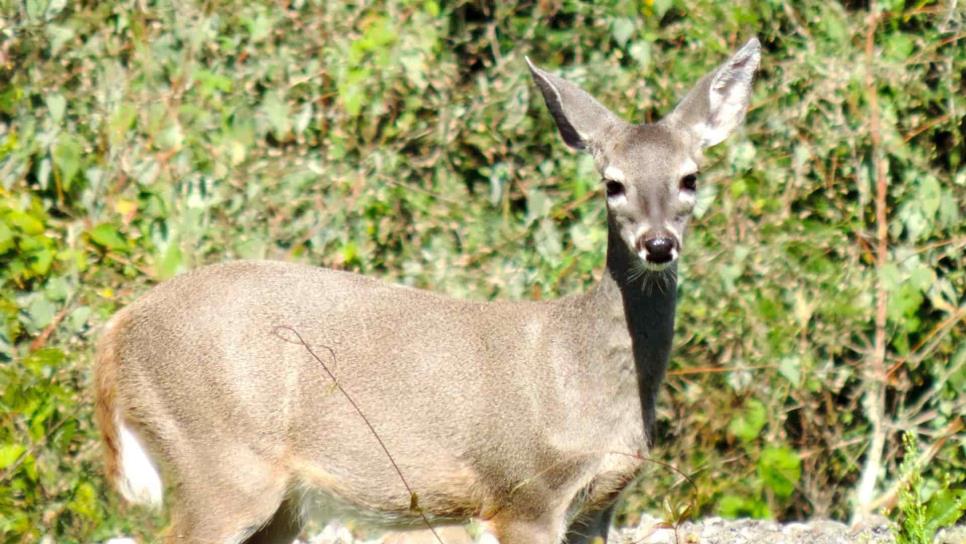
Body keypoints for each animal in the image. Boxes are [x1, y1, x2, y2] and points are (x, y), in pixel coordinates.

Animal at [96, 39, 764, 544]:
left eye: (690, 178)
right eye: (613, 184)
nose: (658, 244)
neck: (584, 374)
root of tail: (116, 331)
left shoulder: (599, 505)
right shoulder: (525, 491)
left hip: (273, 498)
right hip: (221, 459)